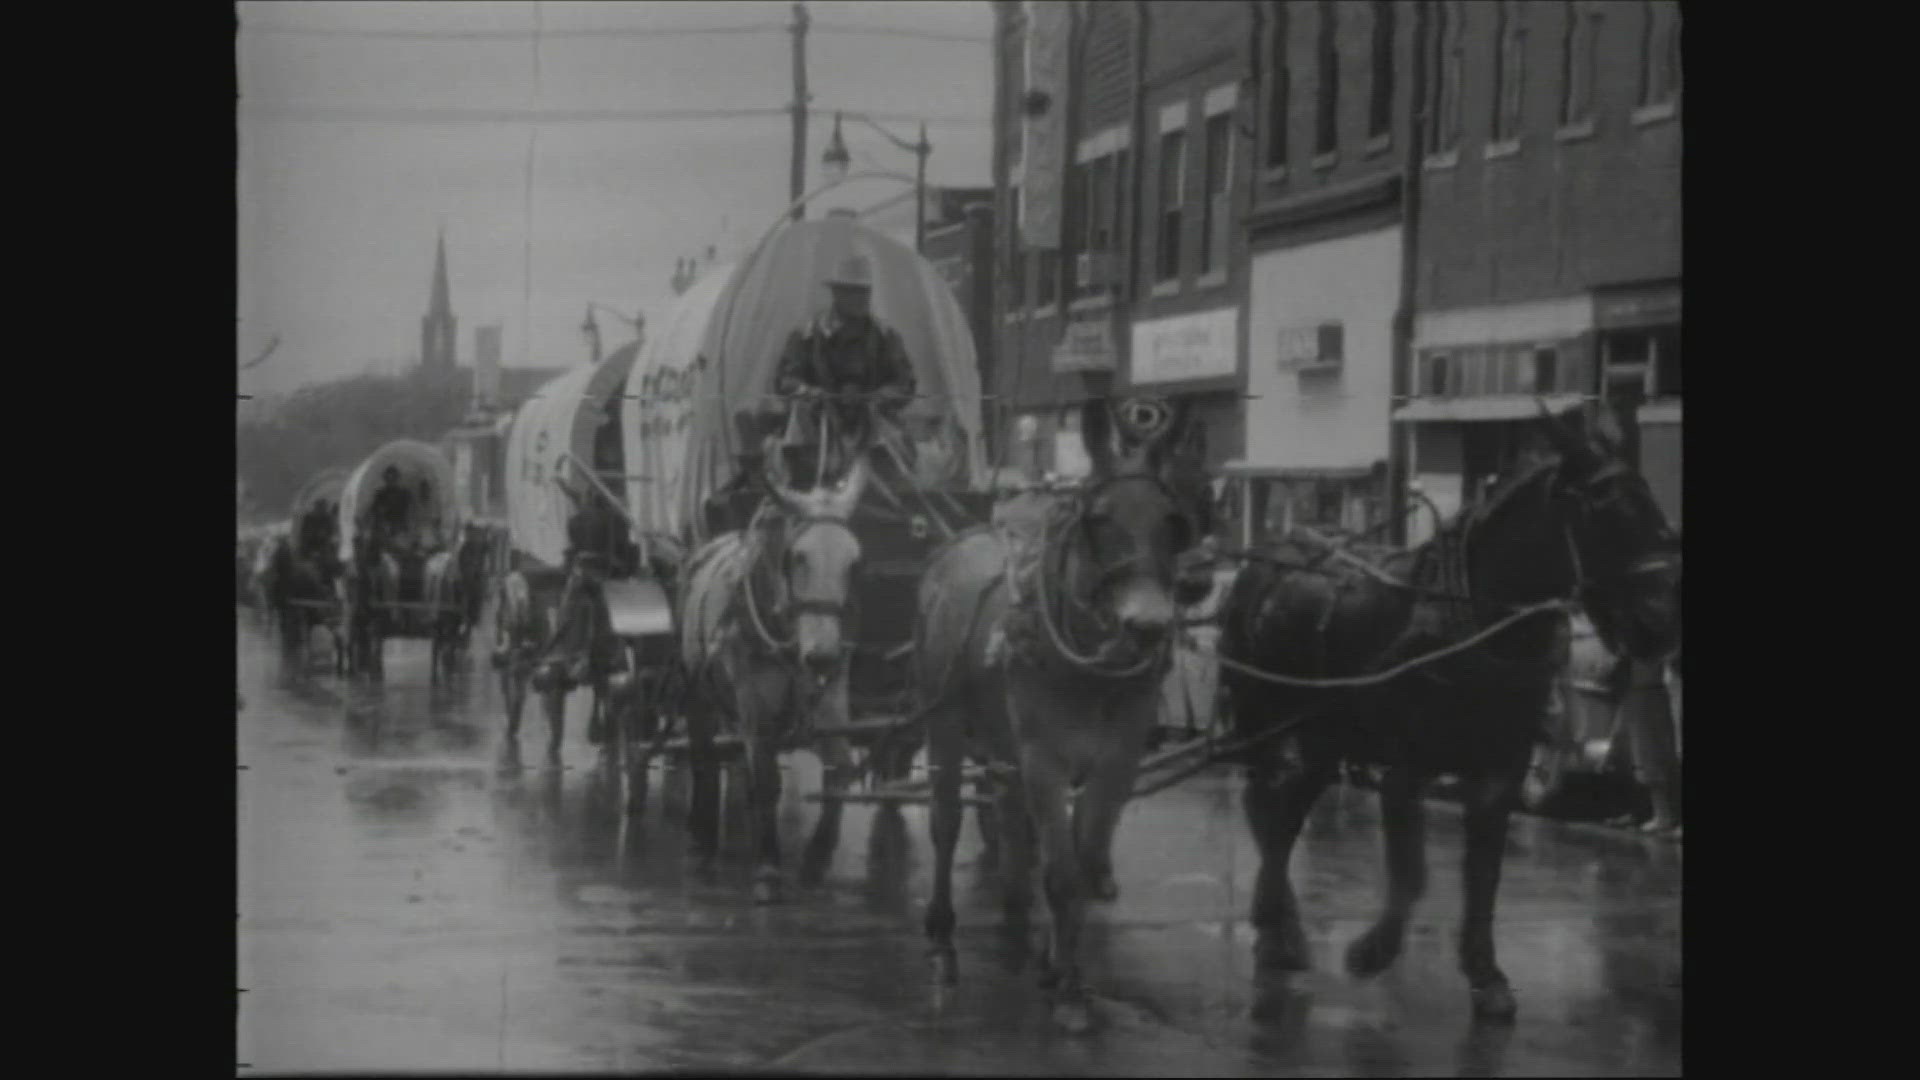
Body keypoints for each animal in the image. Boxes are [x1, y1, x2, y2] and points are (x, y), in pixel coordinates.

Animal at [424, 526, 491, 684]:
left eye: (485, 548)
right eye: (467, 546)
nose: (477, 573)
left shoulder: (466, 621)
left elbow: (459, 642)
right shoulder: (449, 621)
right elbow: (449, 647)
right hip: (438, 619)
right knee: (438, 643)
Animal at [910, 397, 1205, 1037]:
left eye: (1174, 524)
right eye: (1098, 520)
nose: (1148, 626)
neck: (1091, 667)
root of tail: (962, 540)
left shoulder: (1117, 759)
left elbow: (1085, 860)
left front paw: (1062, 970)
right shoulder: (1045, 758)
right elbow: (1064, 872)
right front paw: (1069, 994)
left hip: (1003, 743)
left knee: (1010, 819)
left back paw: (1017, 915)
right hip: (944, 721)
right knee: (946, 822)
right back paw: (942, 937)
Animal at [1221, 403, 1674, 1014]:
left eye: (1649, 500)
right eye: (1604, 510)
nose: (1660, 624)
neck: (1481, 621)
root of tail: (1263, 560)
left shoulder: (1501, 769)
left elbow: (1484, 876)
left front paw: (1486, 974)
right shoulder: (1405, 769)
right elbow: (1411, 873)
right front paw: (1373, 951)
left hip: (1322, 735)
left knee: (1282, 810)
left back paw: (1281, 925)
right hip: (1263, 719)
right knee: (1266, 806)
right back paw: (1277, 930)